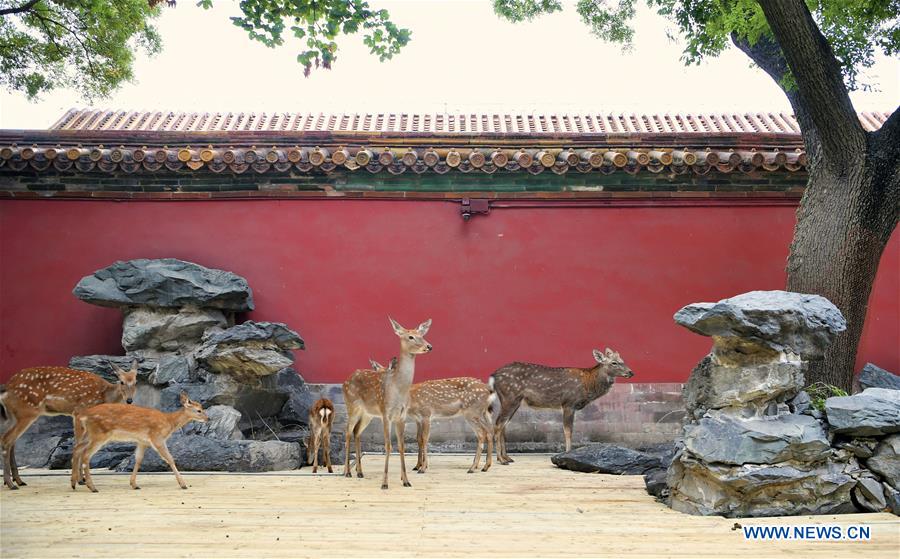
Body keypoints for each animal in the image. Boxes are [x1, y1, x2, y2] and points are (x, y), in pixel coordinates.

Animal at [0, 362, 139, 490]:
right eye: (121, 382)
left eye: (135, 382)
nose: (129, 400)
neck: (104, 395)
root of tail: (7, 388)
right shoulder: (78, 412)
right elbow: (78, 444)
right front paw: (79, 480)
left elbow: (81, 445)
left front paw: (80, 479)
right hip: (27, 411)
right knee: (7, 439)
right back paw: (11, 484)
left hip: (15, 416)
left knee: (10, 441)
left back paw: (18, 481)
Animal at [70, 391, 208, 492]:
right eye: (199, 410)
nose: (208, 418)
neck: (169, 422)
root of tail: (84, 415)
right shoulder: (157, 438)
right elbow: (170, 459)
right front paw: (183, 484)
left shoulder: (142, 441)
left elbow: (138, 459)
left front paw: (134, 484)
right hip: (99, 434)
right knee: (86, 454)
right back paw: (92, 487)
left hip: (89, 434)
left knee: (77, 449)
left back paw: (74, 483)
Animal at [342, 317, 432, 489]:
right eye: (410, 336)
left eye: (422, 335)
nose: (429, 346)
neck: (398, 389)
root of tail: (346, 380)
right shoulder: (386, 413)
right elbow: (388, 445)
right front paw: (384, 483)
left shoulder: (401, 416)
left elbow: (401, 446)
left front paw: (406, 480)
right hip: (352, 406)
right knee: (348, 432)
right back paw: (347, 472)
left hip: (367, 414)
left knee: (357, 432)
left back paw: (360, 472)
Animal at [489, 348, 634, 465]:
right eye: (614, 362)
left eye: (622, 360)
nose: (631, 372)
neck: (588, 383)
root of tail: (494, 375)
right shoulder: (569, 403)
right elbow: (568, 430)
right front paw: (567, 454)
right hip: (510, 397)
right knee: (498, 424)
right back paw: (501, 459)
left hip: (512, 400)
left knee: (503, 425)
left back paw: (507, 457)